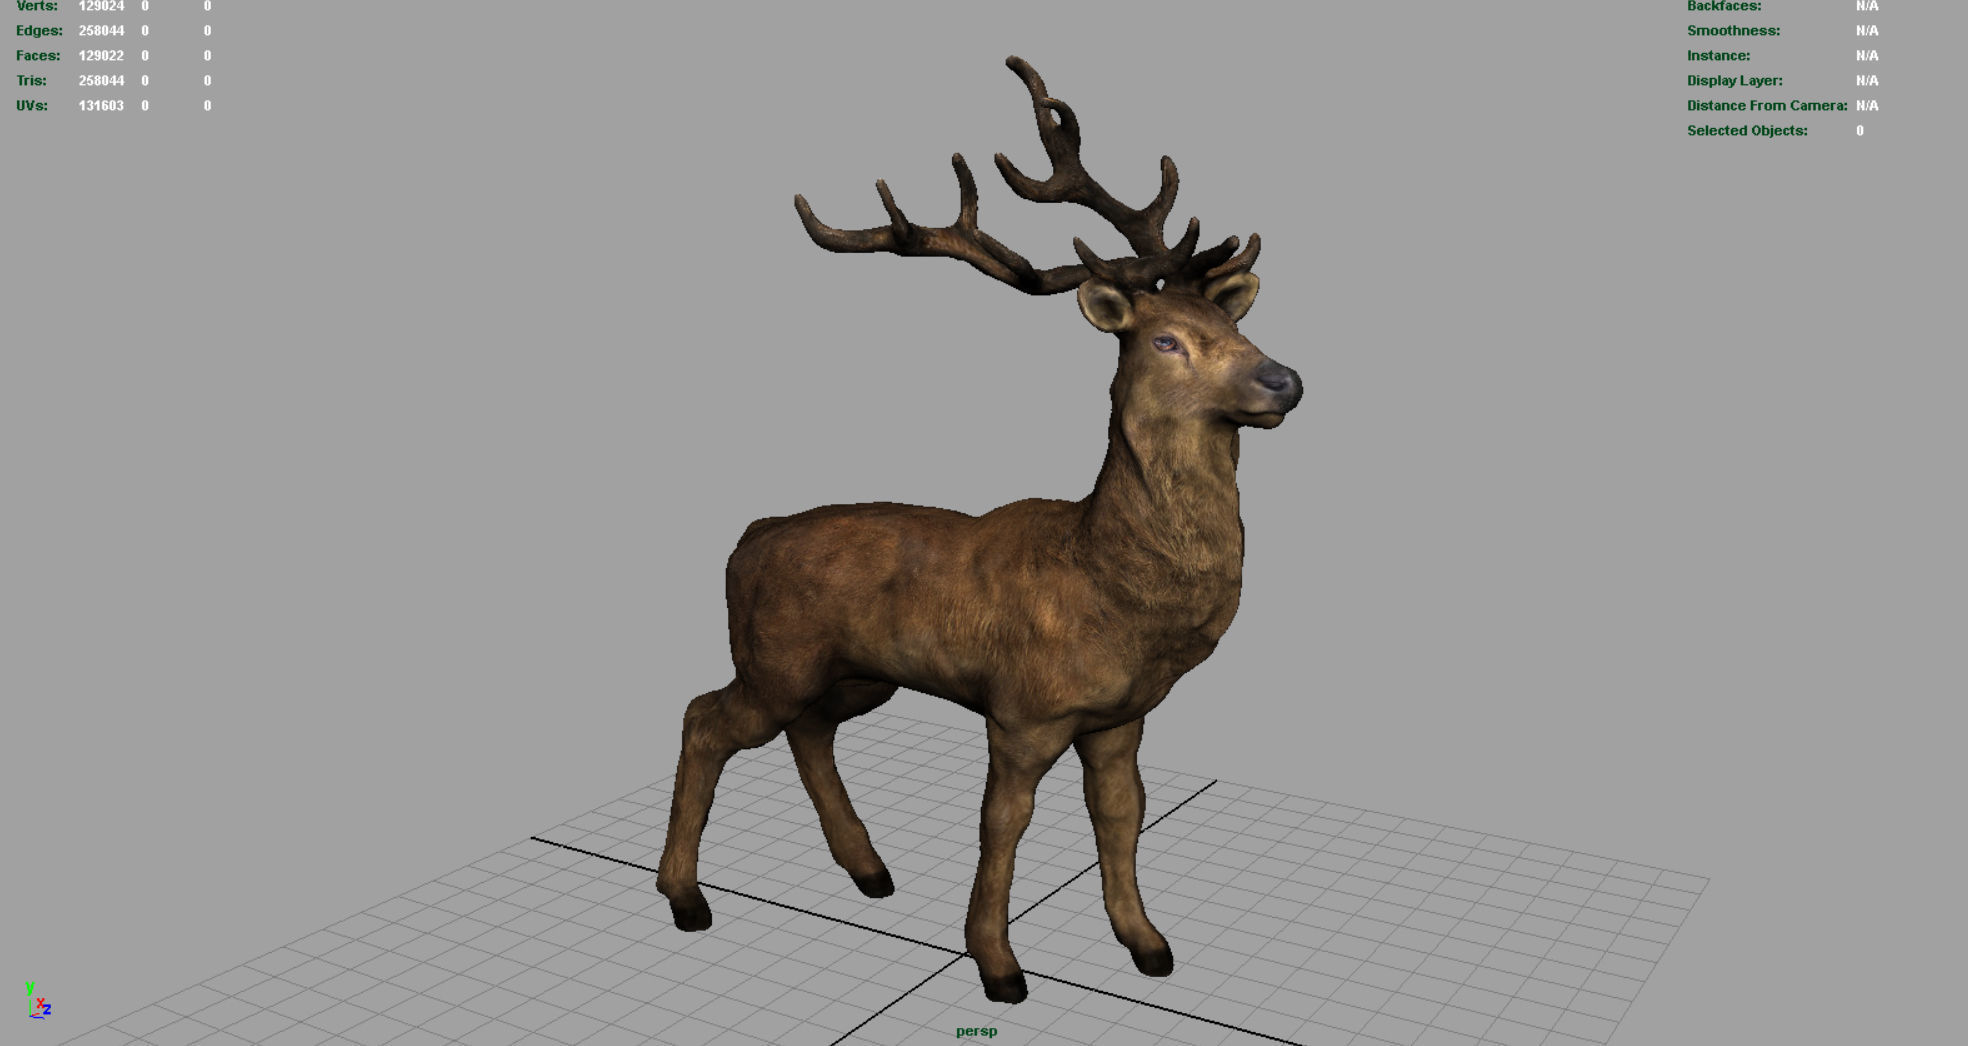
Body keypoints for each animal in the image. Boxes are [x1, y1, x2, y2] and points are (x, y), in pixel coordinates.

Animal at [655, 56, 1302, 1005]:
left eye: (1235, 323)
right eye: (1167, 342)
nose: (1285, 380)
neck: (1107, 587)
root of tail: (748, 536)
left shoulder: (1121, 716)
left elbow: (1123, 815)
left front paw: (1146, 943)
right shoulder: (1023, 707)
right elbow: (1004, 824)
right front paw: (998, 965)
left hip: (856, 672)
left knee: (811, 731)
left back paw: (869, 870)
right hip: (776, 656)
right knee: (706, 715)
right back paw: (684, 895)